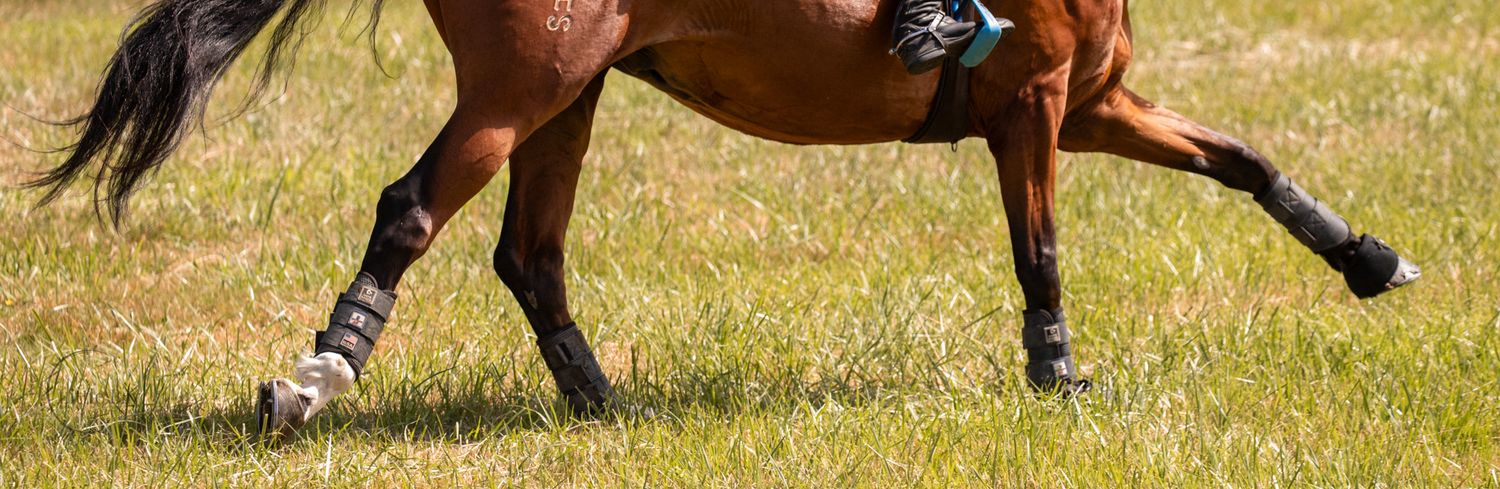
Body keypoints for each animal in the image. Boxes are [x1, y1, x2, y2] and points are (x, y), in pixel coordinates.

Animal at [28, 0, 1420, 438]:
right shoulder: (1032, 107)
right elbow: (1038, 253)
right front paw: (1060, 381)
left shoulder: (1089, 103)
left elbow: (1243, 159)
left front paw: (1368, 257)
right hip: (522, 84)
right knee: (413, 212)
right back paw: (314, 380)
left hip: (570, 92)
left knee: (529, 252)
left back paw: (602, 404)